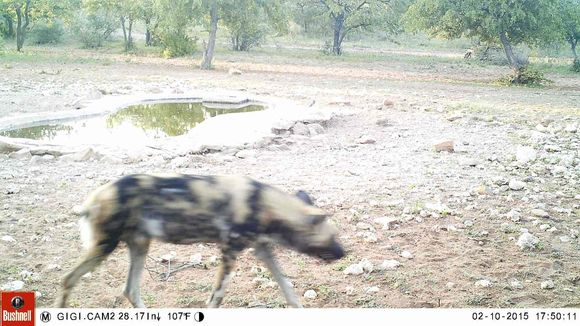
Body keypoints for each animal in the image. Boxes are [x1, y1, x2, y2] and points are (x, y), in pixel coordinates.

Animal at [55, 174, 344, 306]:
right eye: (333, 237)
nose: (344, 252)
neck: (264, 204)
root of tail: (93, 198)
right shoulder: (229, 252)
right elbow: (217, 297)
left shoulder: (262, 249)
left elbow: (289, 291)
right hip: (104, 247)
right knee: (68, 279)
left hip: (139, 245)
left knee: (130, 290)